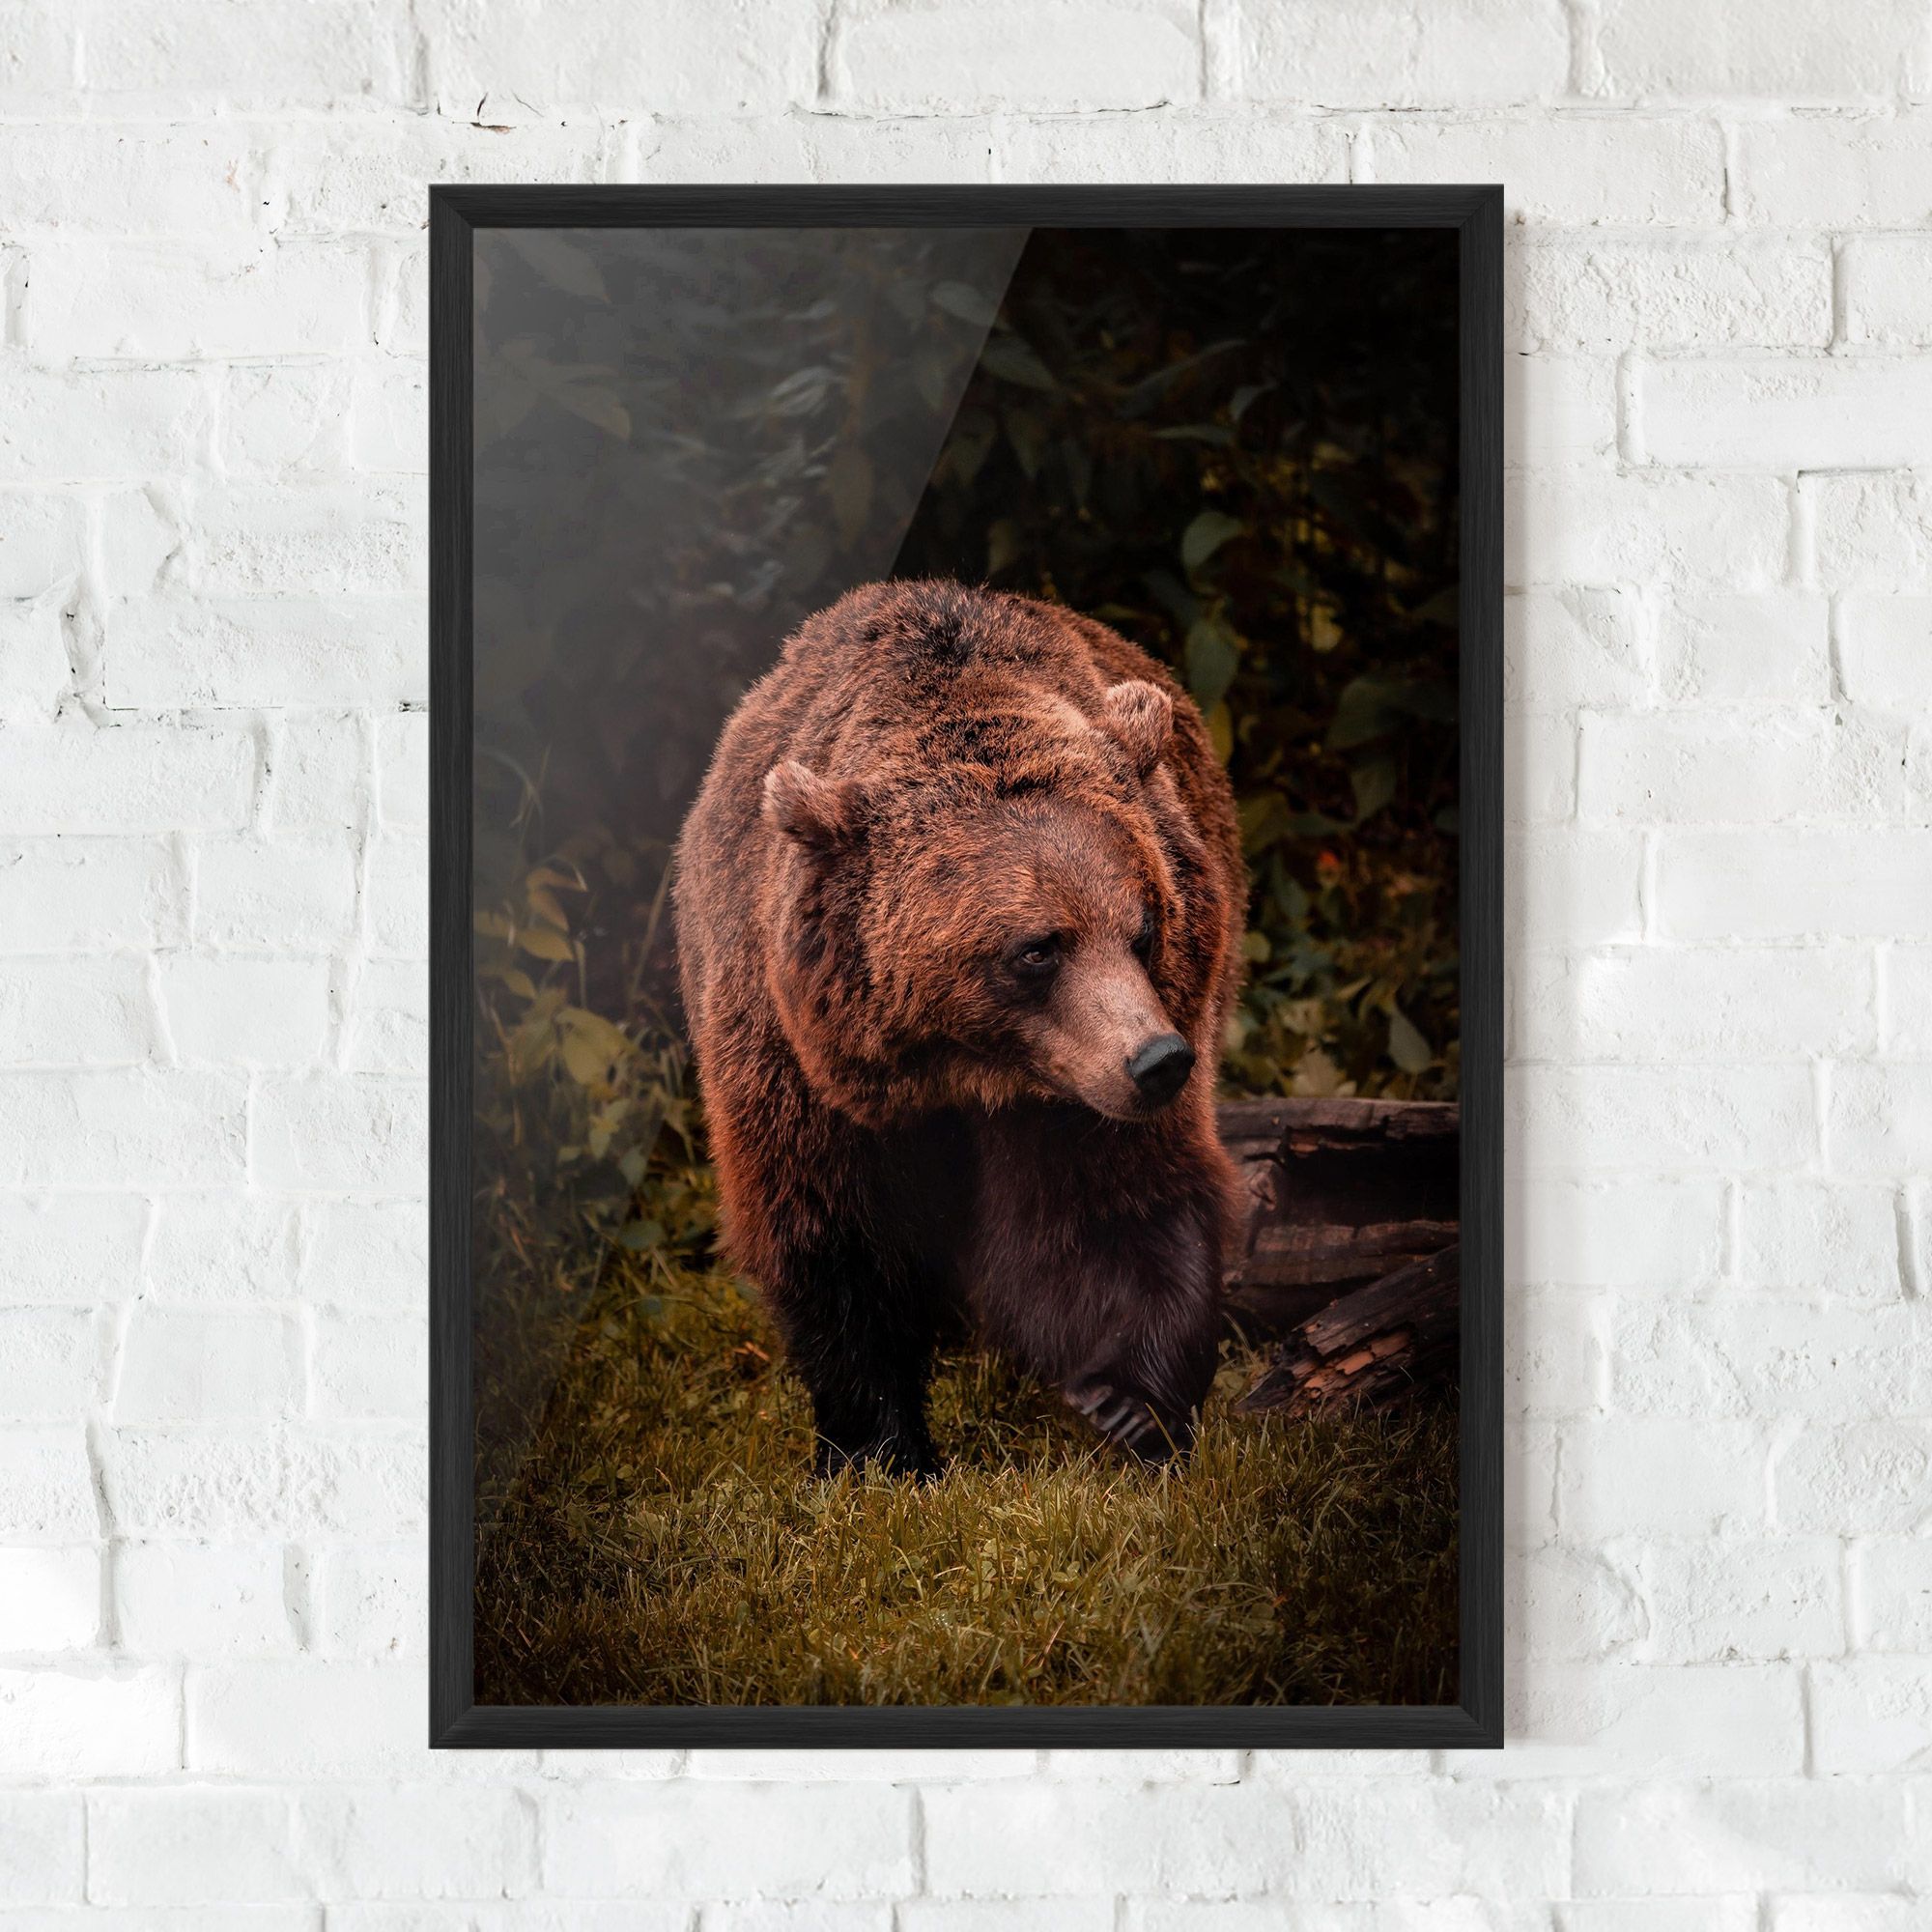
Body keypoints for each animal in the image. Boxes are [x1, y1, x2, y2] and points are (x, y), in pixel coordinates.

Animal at [673, 579, 1247, 1477]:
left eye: (1144, 927)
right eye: (1038, 948)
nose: (1159, 1060)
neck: (963, 1069)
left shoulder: (1077, 1088)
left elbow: (1112, 1208)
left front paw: (1129, 1403)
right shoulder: (794, 1061)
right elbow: (836, 1236)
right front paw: (879, 1447)